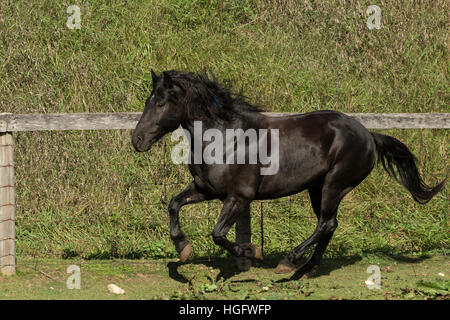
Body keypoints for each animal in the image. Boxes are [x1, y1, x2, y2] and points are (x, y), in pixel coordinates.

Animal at [131, 70, 446, 276]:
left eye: (160, 102)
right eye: (148, 101)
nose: (137, 140)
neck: (225, 139)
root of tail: (369, 135)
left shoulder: (239, 197)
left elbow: (218, 234)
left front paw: (252, 251)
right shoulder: (206, 189)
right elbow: (174, 204)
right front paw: (183, 248)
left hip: (334, 185)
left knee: (326, 223)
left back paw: (289, 261)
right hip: (317, 188)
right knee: (330, 224)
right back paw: (307, 268)